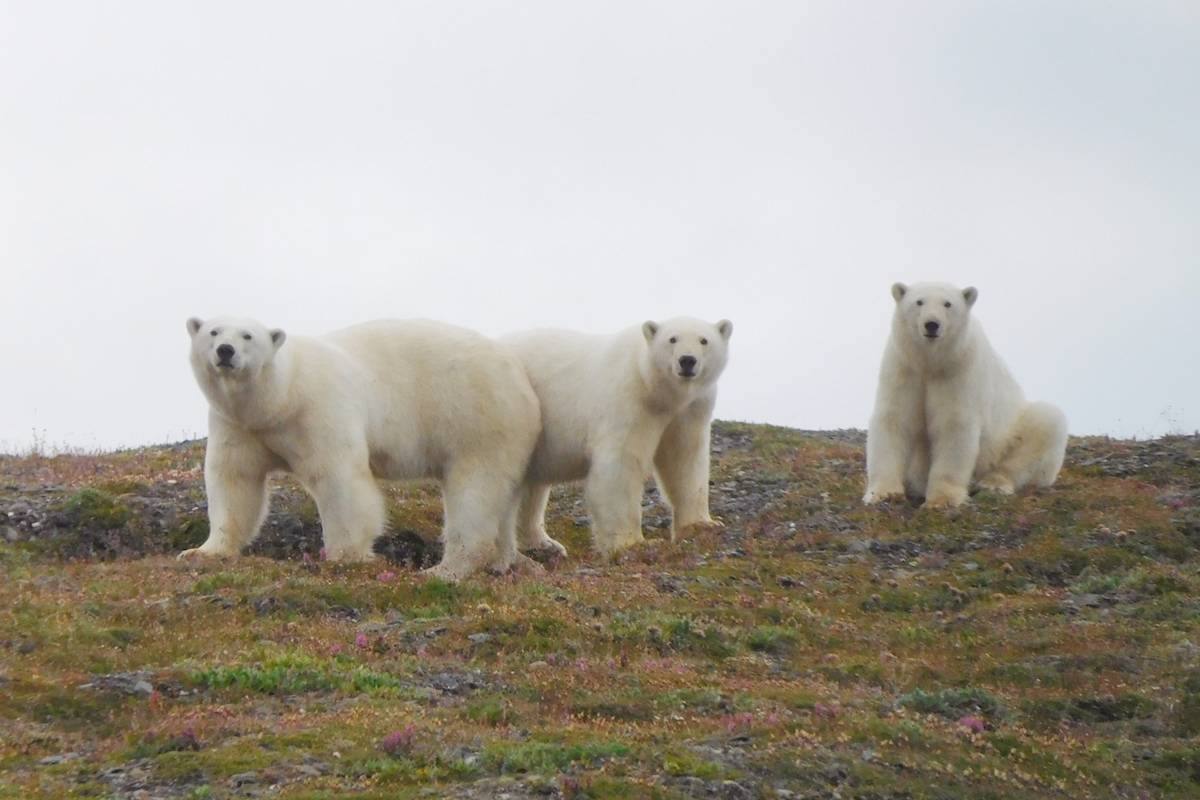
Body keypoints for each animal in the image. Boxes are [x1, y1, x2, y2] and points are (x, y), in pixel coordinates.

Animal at [182, 316, 542, 581]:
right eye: (213, 330)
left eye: (248, 335)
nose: (225, 350)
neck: (281, 398)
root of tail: (520, 373)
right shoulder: (240, 426)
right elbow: (234, 479)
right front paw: (203, 551)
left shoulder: (319, 408)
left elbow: (339, 477)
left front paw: (345, 555)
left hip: (478, 417)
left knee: (475, 490)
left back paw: (448, 567)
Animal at [502, 317, 732, 557]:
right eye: (672, 339)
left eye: (704, 340)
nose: (687, 360)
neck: (656, 389)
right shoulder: (629, 398)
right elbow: (622, 464)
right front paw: (632, 543)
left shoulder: (690, 409)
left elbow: (684, 458)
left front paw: (702, 525)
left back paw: (544, 544)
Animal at [863, 282, 1068, 509]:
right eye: (919, 301)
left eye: (948, 303)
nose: (932, 324)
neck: (929, 362)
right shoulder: (903, 369)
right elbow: (894, 420)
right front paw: (883, 494)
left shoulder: (958, 372)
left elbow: (953, 425)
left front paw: (942, 500)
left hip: (1009, 435)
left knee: (1045, 423)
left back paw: (993, 483)